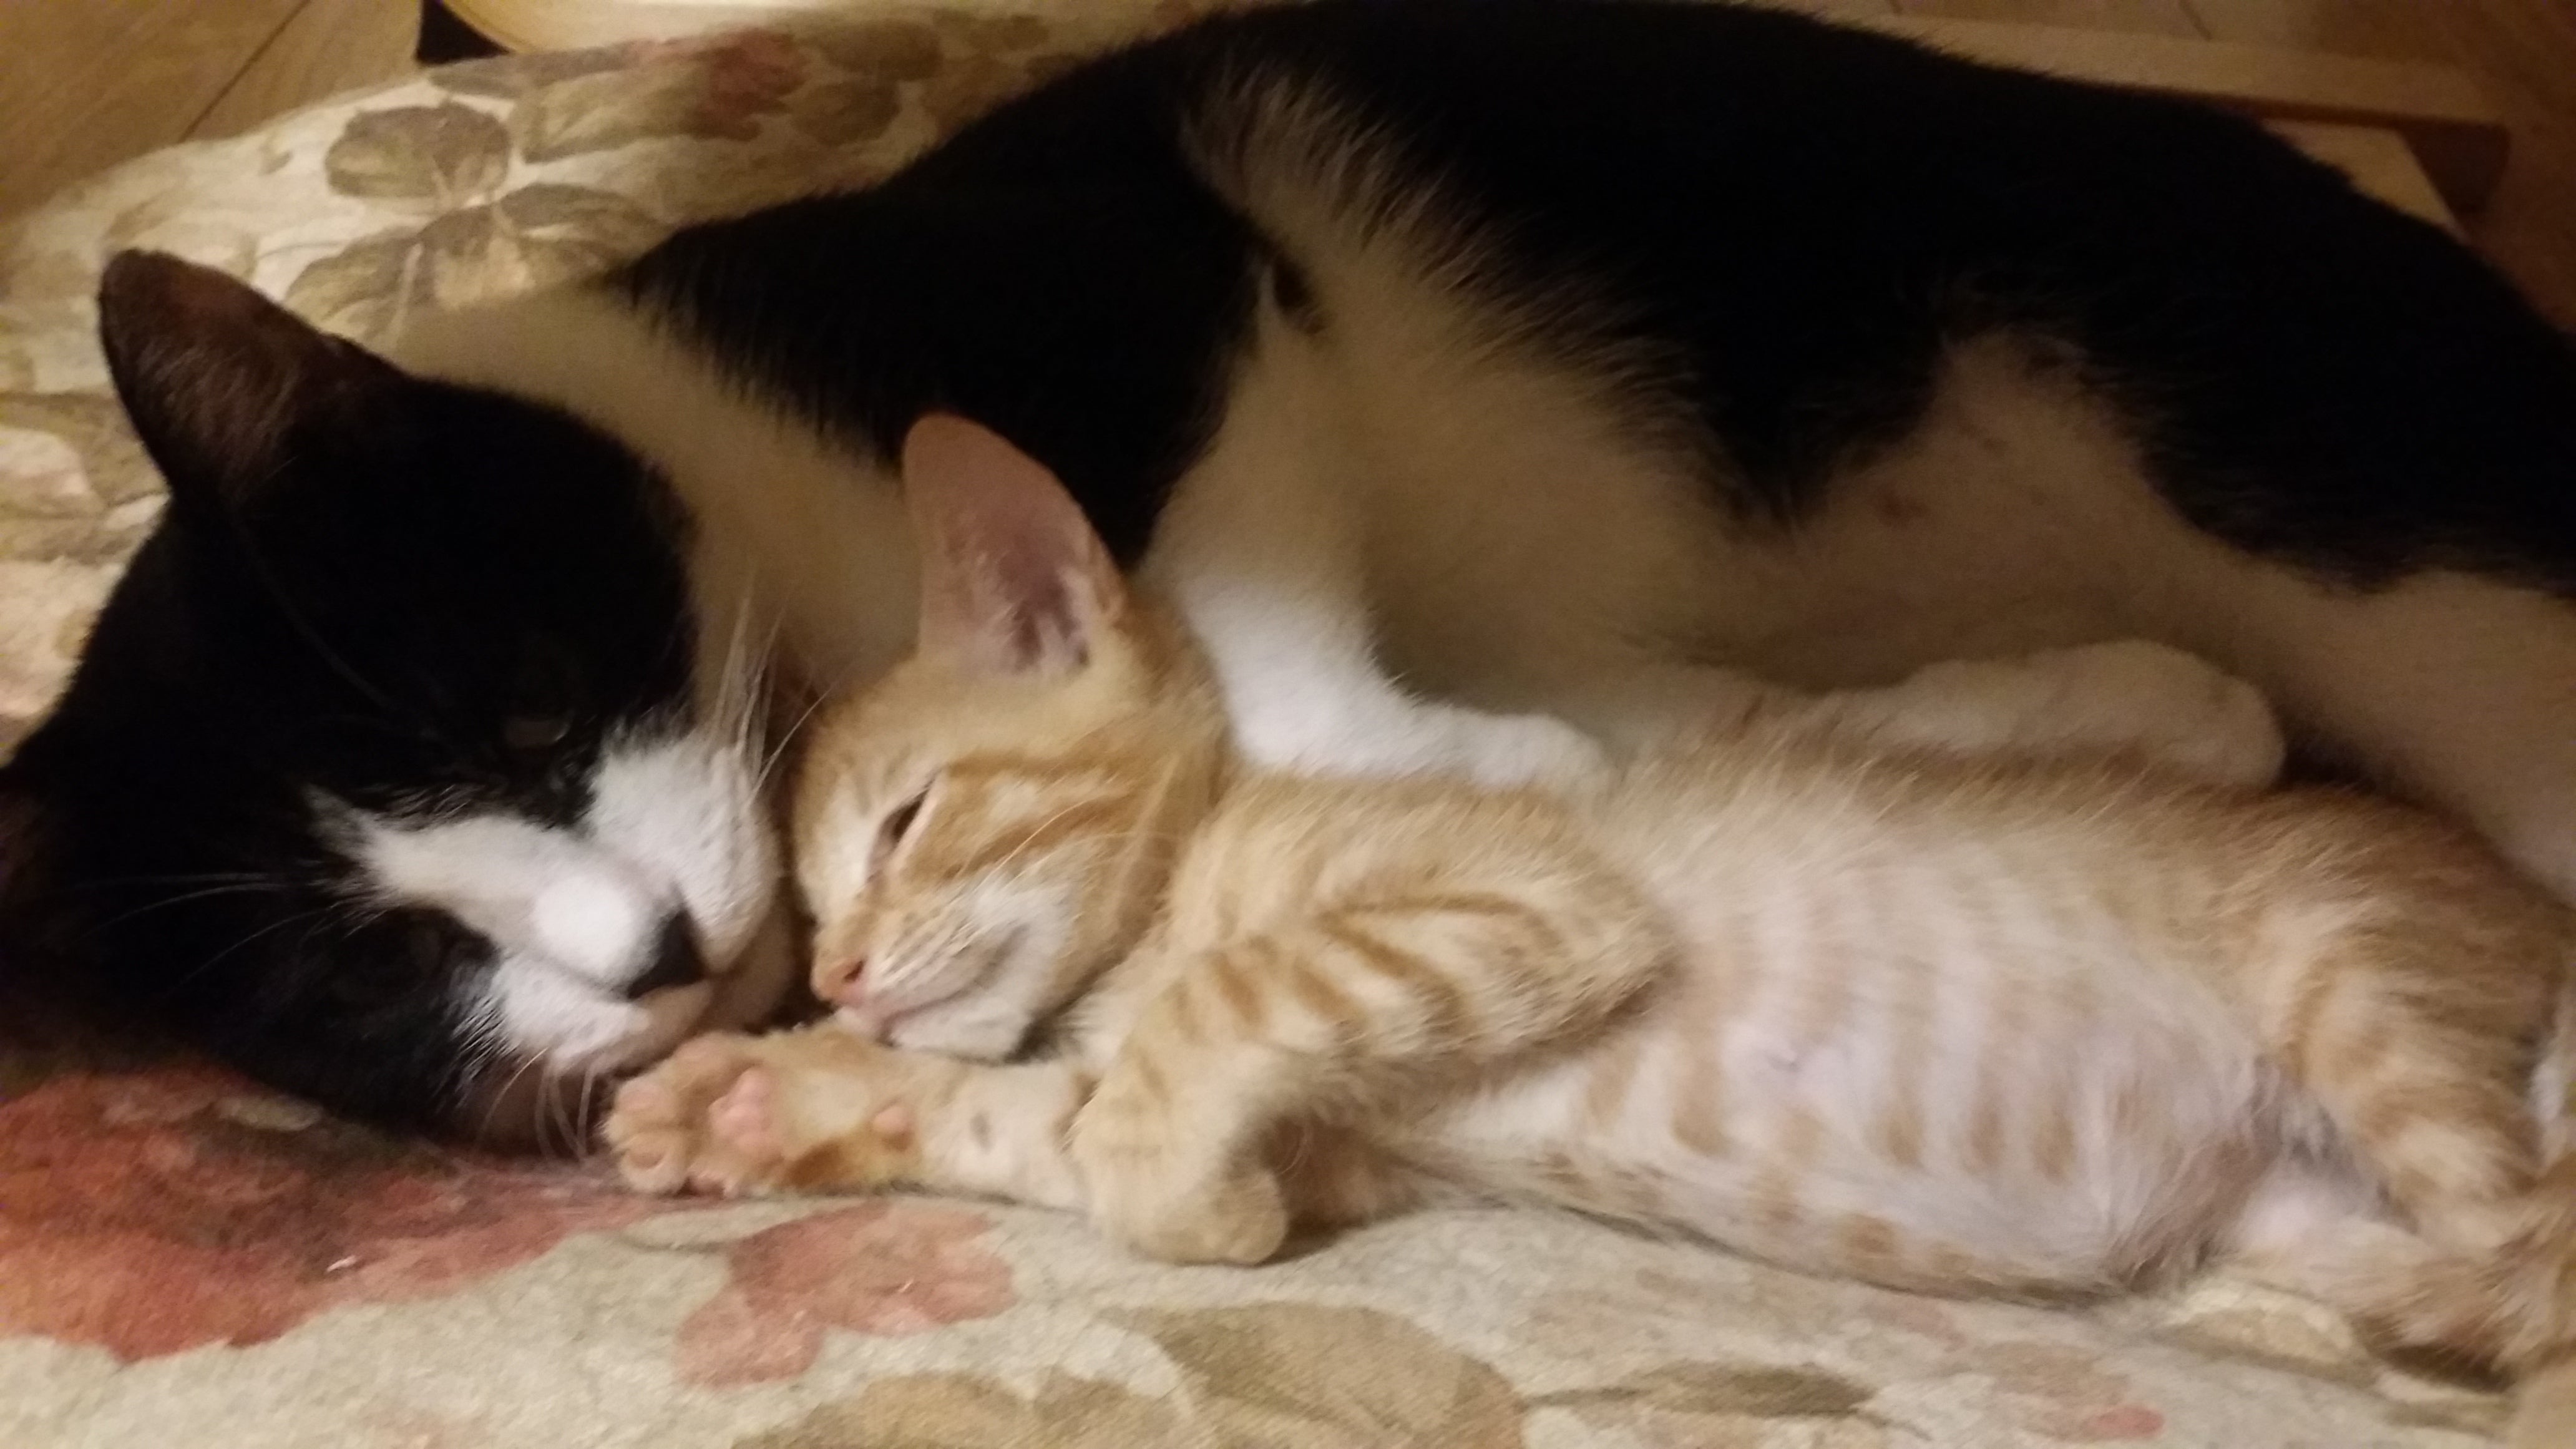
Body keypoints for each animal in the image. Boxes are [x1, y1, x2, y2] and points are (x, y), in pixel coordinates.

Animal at [12, 0, 2576, 1142]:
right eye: (372, 975)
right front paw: (2073, 718)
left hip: (2302, 460)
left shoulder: (1174, 273)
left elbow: (1246, 633)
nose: (648, 951)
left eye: (534, 699)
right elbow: (1654, 717)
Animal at [608, 416, 2576, 1436]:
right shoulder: (1338, 1138)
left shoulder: (1538, 896)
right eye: (810, 904)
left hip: (2357, 993)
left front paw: (1178, 1188)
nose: (840, 971)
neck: (1170, 896)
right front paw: (765, 1095)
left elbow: (1205, 1028)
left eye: (905, 821)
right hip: (2295, 1224)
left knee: (2538, 1242)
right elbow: (1036, 1119)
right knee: (2486, 1267)